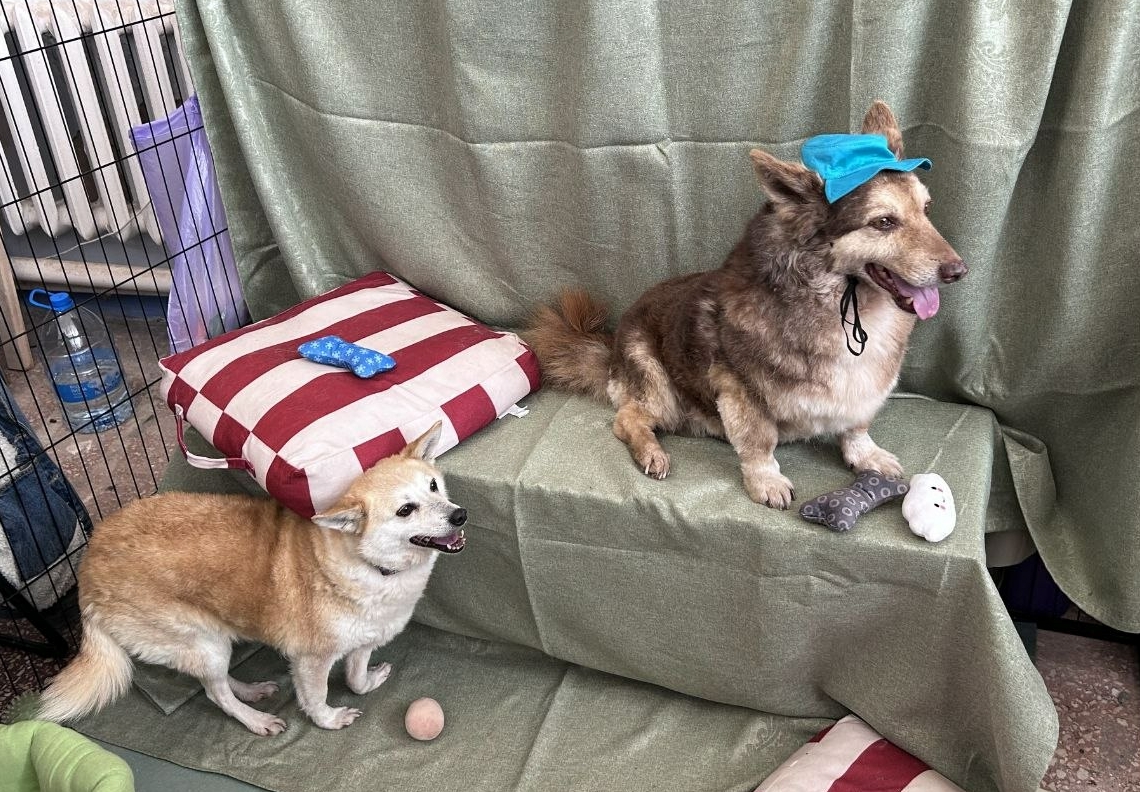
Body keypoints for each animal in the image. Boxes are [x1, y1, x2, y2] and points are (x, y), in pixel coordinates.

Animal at [37, 422, 466, 735]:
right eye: (405, 510)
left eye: (433, 486)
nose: (460, 515)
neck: (371, 566)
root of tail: (87, 566)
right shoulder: (311, 660)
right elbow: (317, 697)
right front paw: (329, 720)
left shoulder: (364, 640)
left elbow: (357, 678)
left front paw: (369, 681)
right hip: (200, 641)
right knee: (216, 694)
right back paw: (256, 720)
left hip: (211, 642)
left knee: (217, 683)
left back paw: (251, 691)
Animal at [525, 101, 965, 509]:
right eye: (884, 222)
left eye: (926, 210)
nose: (958, 271)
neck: (842, 303)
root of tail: (612, 350)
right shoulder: (740, 390)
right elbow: (759, 443)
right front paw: (766, 482)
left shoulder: (863, 392)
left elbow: (856, 427)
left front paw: (867, 455)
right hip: (658, 386)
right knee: (626, 418)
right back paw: (652, 452)